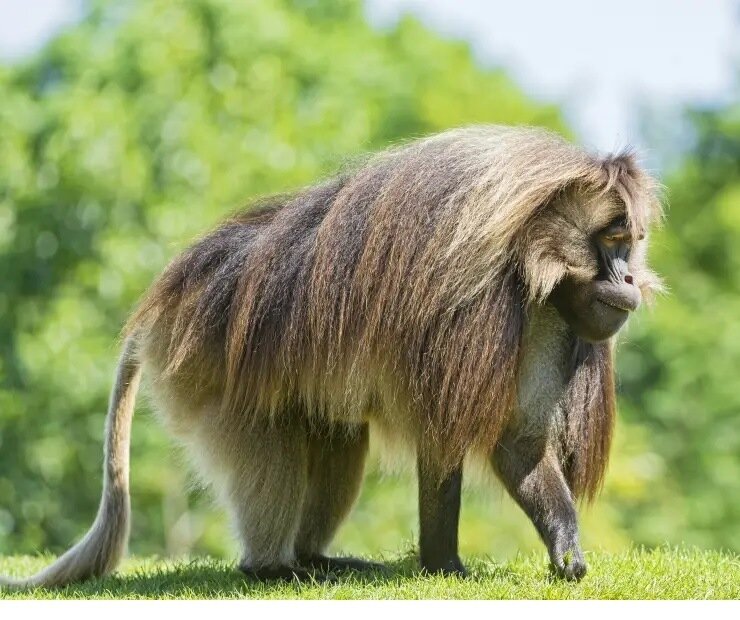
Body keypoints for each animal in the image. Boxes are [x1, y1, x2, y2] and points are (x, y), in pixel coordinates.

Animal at [0, 125, 662, 588]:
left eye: (630, 242)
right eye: (611, 241)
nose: (630, 278)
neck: (529, 252)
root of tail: (162, 304)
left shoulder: (552, 316)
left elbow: (519, 443)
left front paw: (565, 549)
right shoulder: (472, 301)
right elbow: (443, 433)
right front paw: (443, 566)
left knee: (339, 438)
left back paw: (316, 558)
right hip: (205, 368)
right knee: (270, 450)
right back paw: (273, 568)